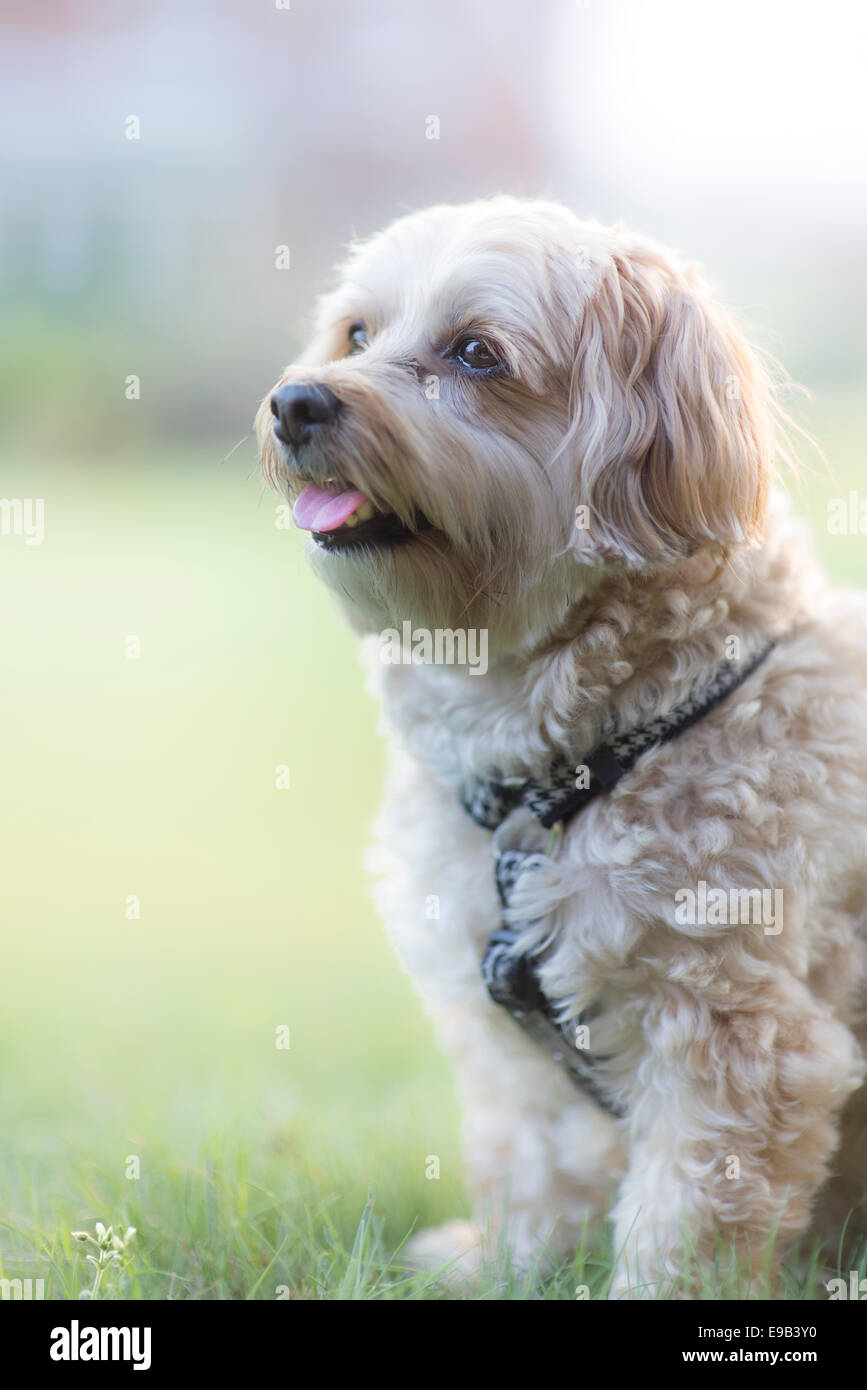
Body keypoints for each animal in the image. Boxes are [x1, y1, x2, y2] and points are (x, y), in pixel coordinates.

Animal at [255, 198, 867, 1301]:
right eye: (357, 334)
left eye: (476, 353)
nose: (295, 402)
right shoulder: (507, 1038)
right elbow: (531, 1160)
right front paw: (511, 1266)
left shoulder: (740, 1034)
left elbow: (687, 1212)